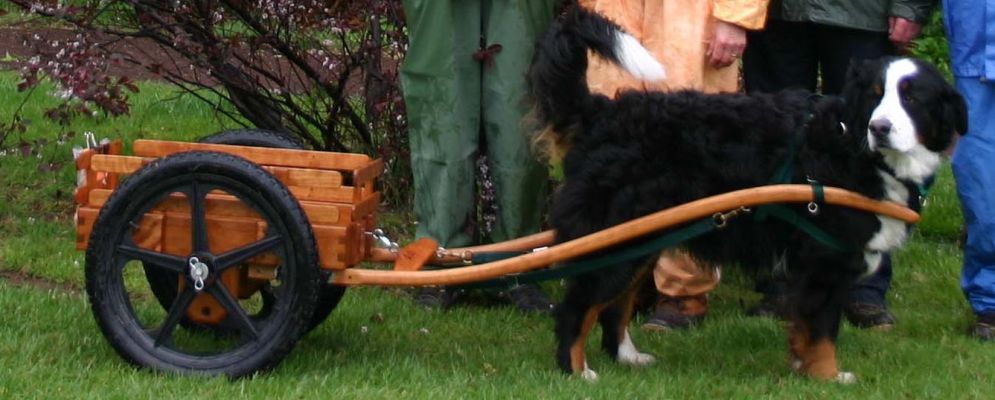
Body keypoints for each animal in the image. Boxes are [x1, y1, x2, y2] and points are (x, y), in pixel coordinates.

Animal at [532, 5, 968, 382]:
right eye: (876, 95)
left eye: (912, 98)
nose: (880, 128)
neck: (850, 144)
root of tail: (600, 112)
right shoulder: (823, 261)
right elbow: (822, 330)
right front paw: (828, 377)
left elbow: (804, 329)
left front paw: (803, 368)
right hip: (615, 237)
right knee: (579, 307)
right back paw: (576, 371)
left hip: (642, 236)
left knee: (616, 305)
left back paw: (627, 356)